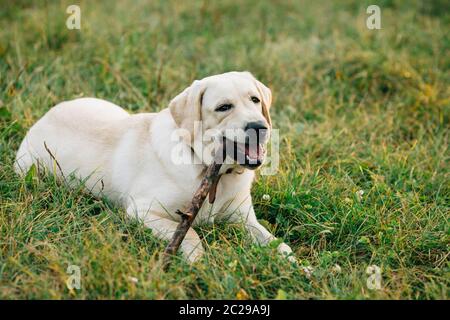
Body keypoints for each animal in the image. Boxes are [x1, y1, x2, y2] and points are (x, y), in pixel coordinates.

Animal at [14, 71, 296, 264]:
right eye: (223, 107)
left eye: (255, 100)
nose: (259, 127)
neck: (209, 170)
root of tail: (45, 115)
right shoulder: (143, 211)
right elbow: (191, 233)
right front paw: (197, 262)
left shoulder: (244, 220)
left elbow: (278, 244)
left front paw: (297, 267)